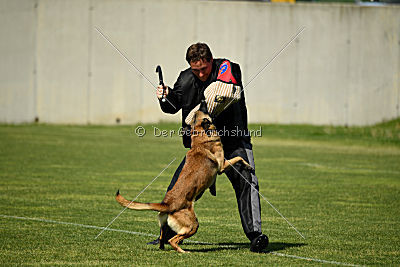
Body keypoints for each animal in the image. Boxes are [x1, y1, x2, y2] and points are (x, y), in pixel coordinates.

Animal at [116, 109, 253, 253]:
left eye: (195, 116)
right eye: (205, 113)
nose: (202, 106)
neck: (200, 137)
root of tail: (167, 204)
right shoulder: (222, 166)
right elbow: (238, 158)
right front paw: (248, 166)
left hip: (166, 224)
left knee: (162, 237)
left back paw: (164, 246)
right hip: (193, 225)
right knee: (173, 240)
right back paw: (183, 251)